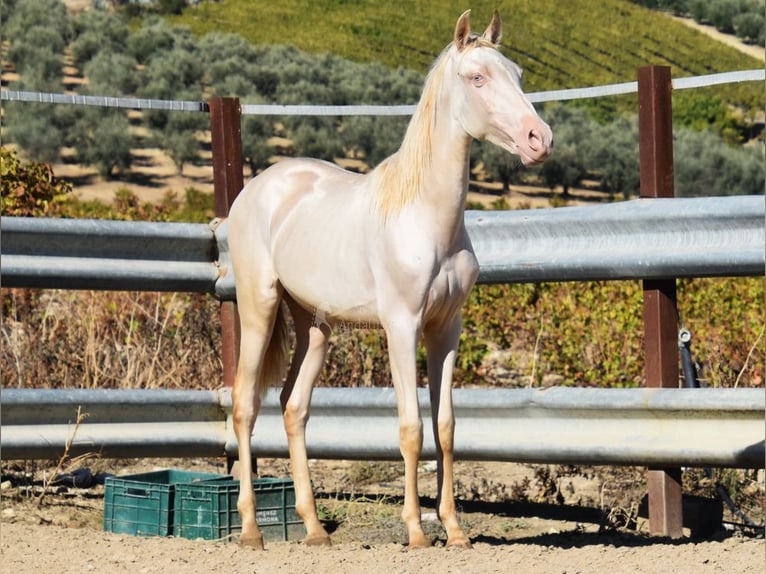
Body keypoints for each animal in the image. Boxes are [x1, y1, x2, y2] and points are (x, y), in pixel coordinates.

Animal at [227, 9, 553, 550]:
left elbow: (445, 427)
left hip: (314, 326)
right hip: (260, 308)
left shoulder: (446, 329)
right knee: (244, 406)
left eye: (519, 75)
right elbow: (410, 428)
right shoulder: (401, 326)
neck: (424, 216)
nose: (539, 139)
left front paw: (455, 530)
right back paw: (251, 530)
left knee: (294, 408)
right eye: (476, 77)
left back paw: (315, 530)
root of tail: (256, 189)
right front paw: (417, 532)